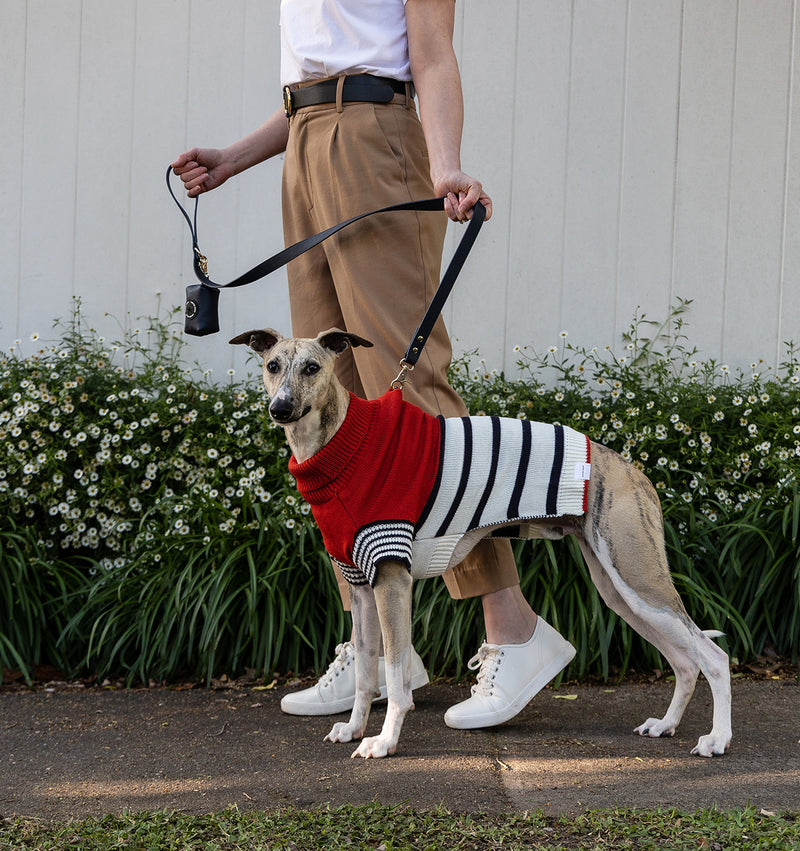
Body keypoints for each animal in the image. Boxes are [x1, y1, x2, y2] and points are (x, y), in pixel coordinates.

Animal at [230, 330, 732, 764]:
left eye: (312, 367)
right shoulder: (361, 587)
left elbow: (393, 674)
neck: (342, 445)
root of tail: (634, 471)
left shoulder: (392, 581)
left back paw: (717, 739)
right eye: (273, 365)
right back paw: (665, 724)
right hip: (620, 591)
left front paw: (385, 742)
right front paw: (354, 729)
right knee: (684, 662)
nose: (281, 408)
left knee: (714, 657)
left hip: (639, 580)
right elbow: (366, 673)